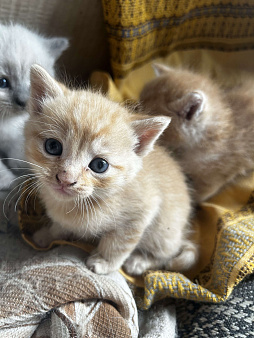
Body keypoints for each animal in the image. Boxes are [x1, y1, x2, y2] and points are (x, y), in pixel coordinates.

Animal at [0, 23, 68, 190]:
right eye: (2, 83)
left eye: (31, 82)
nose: (23, 102)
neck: (3, 121)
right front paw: (9, 181)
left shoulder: (14, 135)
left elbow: (17, 147)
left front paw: (21, 162)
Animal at [24, 64, 198, 276]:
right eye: (52, 146)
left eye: (99, 165)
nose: (66, 179)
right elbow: (60, 225)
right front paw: (49, 234)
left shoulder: (142, 213)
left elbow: (118, 243)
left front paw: (105, 262)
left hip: (165, 231)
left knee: (166, 254)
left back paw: (139, 261)